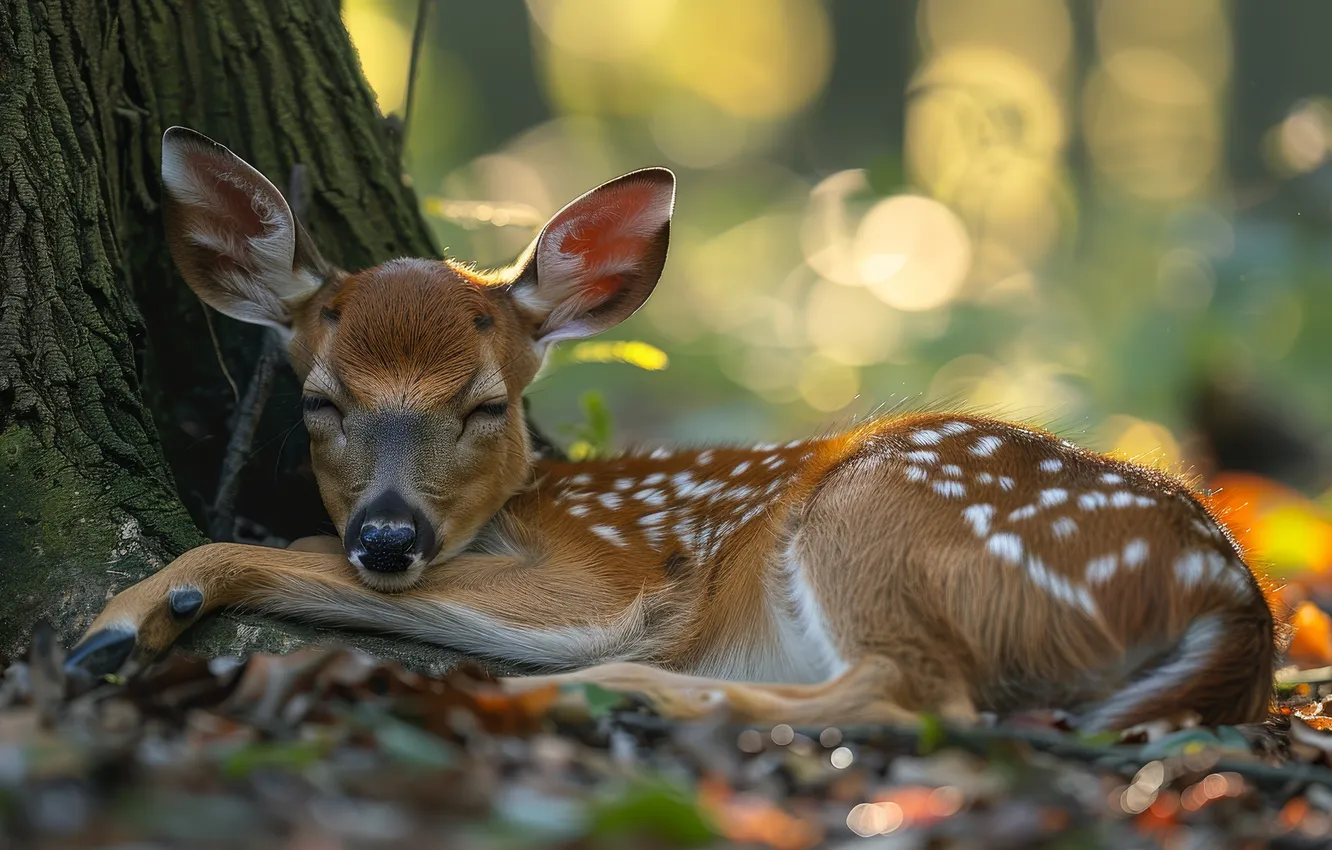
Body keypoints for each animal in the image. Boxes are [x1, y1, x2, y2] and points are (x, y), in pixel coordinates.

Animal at [64, 127, 1277, 731]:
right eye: (320, 401)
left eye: (486, 405)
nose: (391, 538)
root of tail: (1234, 599)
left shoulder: (607, 579)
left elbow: (296, 552)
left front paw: (121, 622)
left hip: (878, 508)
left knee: (920, 695)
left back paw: (596, 691)